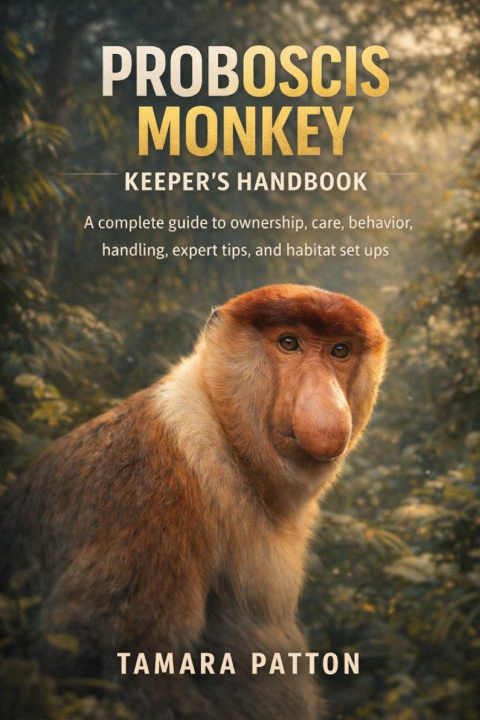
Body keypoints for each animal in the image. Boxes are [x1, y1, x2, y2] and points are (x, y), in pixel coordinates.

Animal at [0, 284, 387, 720]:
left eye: (340, 350)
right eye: (289, 343)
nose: (326, 409)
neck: (225, 434)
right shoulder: (153, 493)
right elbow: (100, 658)